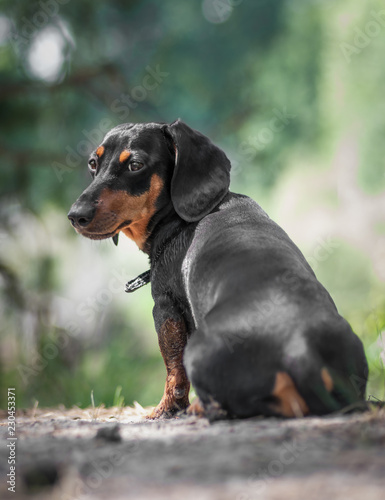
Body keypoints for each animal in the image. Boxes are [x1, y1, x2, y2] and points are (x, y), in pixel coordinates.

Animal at [67, 121, 368, 418]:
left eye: (135, 165)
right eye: (93, 163)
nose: (75, 216)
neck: (179, 220)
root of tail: (298, 348)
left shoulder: (165, 308)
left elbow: (174, 371)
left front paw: (165, 409)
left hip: (198, 349)